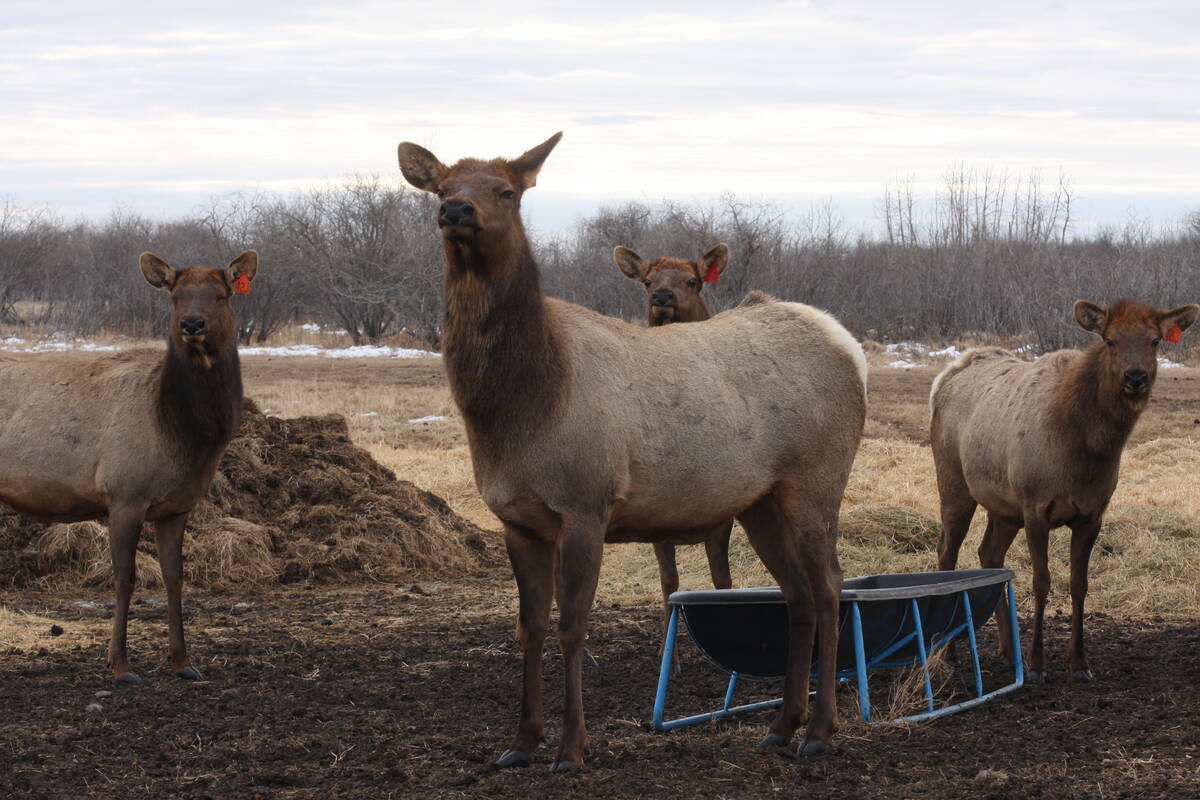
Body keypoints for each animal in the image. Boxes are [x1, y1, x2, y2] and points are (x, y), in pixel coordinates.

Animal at [0, 251, 258, 685]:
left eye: (221, 296)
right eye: (176, 296)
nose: (192, 324)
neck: (180, 433)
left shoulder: (177, 506)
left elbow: (175, 576)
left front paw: (183, 661)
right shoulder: (123, 495)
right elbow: (125, 578)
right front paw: (120, 665)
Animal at [614, 243, 735, 673]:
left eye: (693, 280)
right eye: (648, 281)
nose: (663, 297)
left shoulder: (723, 513)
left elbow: (722, 579)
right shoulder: (654, 518)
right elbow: (669, 583)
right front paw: (673, 658)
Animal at [931, 298, 1198, 683]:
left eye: (1155, 340)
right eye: (1110, 339)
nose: (1135, 377)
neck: (1086, 452)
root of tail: (945, 376)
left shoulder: (1092, 514)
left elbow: (1078, 584)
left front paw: (1079, 662)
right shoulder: (1035, 505)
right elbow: (1041, 581)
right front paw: (1037, 664)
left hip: (1004, 507)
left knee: (989, 554)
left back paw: (1009, 652)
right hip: (954, 484)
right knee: (947, 554)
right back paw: (950, 653)